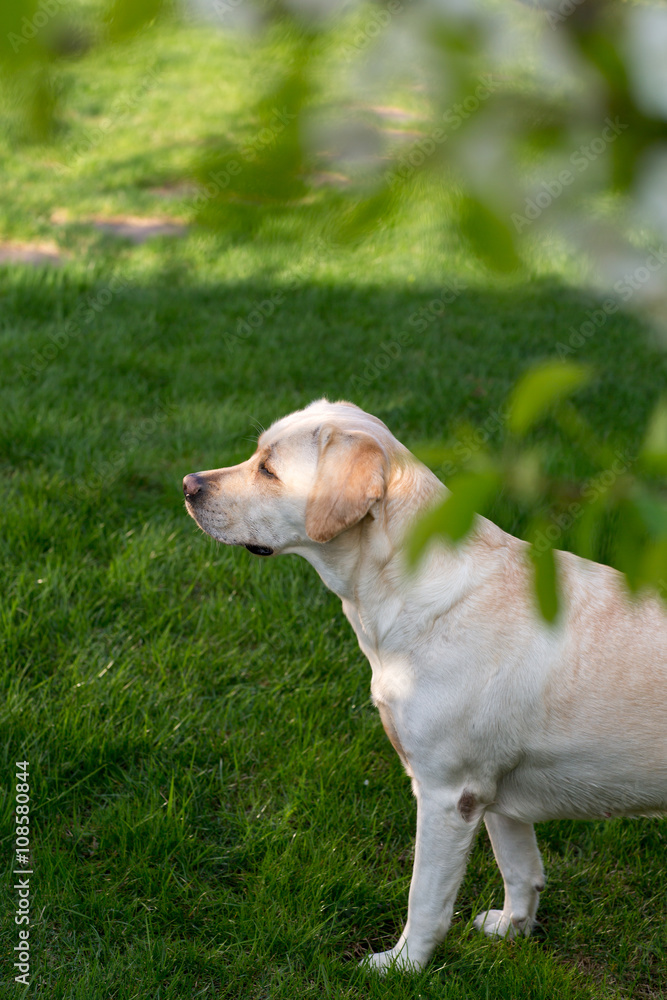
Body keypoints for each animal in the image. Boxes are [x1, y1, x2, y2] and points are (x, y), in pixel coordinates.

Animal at [183, 396, 667, 968]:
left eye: (269, 470)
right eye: (257, 456)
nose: (188, 484)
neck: (399, 594)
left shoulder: (447, 792)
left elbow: (426, 898)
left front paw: (401, 966)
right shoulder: (493, 792)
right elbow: (521, 869)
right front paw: (512, 929)